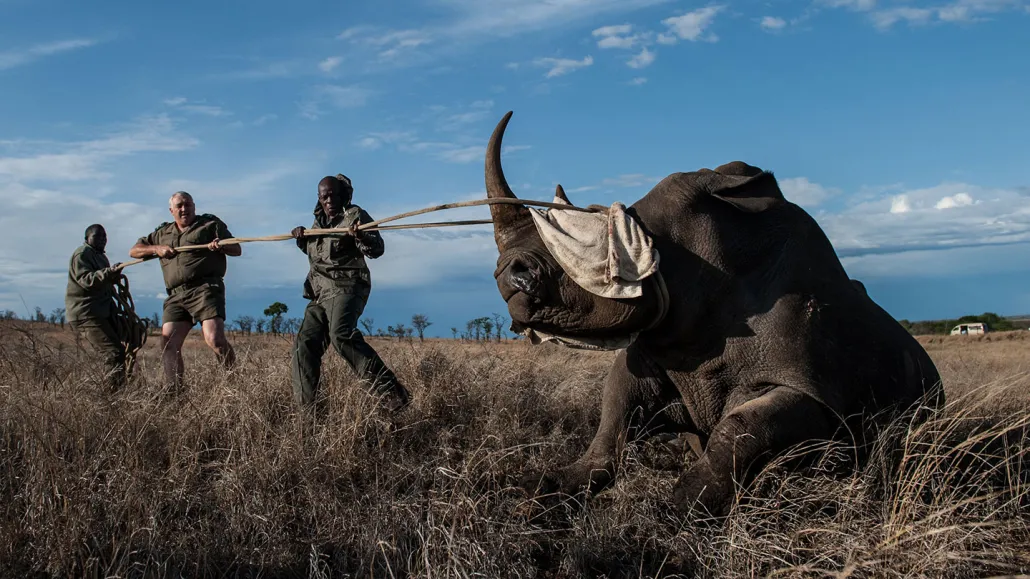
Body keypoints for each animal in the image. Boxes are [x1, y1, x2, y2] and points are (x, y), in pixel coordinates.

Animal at [484, 111, 943, 517]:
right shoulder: (658, 347)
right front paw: (541, 490)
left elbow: (741, 428)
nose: (508, 276)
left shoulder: (816, 391)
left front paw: (674, 512)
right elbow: (613, 418)